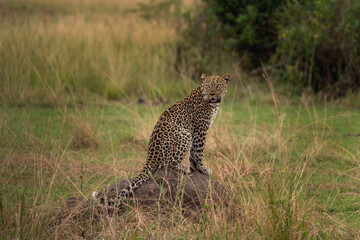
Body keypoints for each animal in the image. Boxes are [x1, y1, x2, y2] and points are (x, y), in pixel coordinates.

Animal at [93, 72, 231, 206]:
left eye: (218, 85)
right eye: (208, 86)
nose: (212, 93)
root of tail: (150, 157)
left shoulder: (198, 131)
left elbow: (193, 154)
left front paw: (196, 169)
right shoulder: (200, 130)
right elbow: (198, 153)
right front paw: (203, 169)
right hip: (185, 134)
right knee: (167, 164)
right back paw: (183, 168)